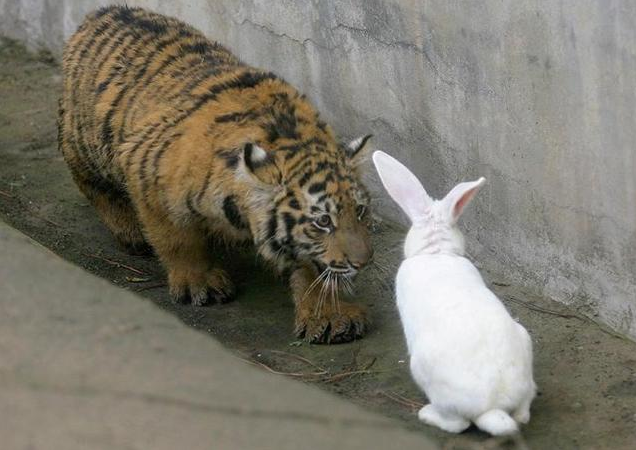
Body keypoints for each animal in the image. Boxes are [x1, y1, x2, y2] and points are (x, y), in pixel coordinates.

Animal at [57, 5, 376, 344]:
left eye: (360, 211)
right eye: (323, 221)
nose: (364, 261)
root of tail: (102, 11)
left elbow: (313, 265)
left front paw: (328, 316)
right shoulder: (145, 170)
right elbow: (176, 239)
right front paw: (199, 283)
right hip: (87, 142)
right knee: (88, 179)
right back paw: (129, 231)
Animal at [372, 151, 536, 436]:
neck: (436, 251)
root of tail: (494, 406)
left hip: (423, 369)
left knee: (457, 424)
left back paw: (426, 415)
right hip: (524, 342)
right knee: (523, 411)